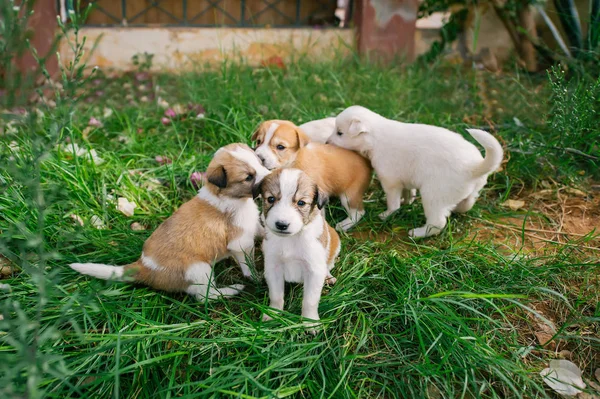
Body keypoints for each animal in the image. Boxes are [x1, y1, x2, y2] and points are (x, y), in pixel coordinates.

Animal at [67, 144, 270, 300]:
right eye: (248, 177)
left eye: (260, 163)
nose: (270, 177)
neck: (229, 197)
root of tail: (144, 266)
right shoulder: (240, 242)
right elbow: (248, 265)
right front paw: (256, 277)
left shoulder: (253, 226)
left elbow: (261, 230)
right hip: (199, 269)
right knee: (205, 296)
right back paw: (232, 290)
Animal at [260, 167, 340, 330]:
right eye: (271, 199)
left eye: (301, 203)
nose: (282, 224)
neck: (291, 238)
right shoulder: (273, 267)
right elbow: (276, 296)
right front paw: (273, 314)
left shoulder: (314, 271)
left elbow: (310, 301)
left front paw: (310, 322)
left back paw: (328, 277)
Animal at [326, 104, 504, 239]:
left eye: (340, 133)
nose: (327, 142)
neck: (374, 138)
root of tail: (474, 166)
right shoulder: (405, 179)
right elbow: (408, 192)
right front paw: (407, 202)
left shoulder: (390, 181)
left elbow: (393, 203)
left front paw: (387, 214)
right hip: (469, 191)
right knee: (467, 203)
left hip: (433, 195)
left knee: (437, 223)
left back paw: (417, 233)